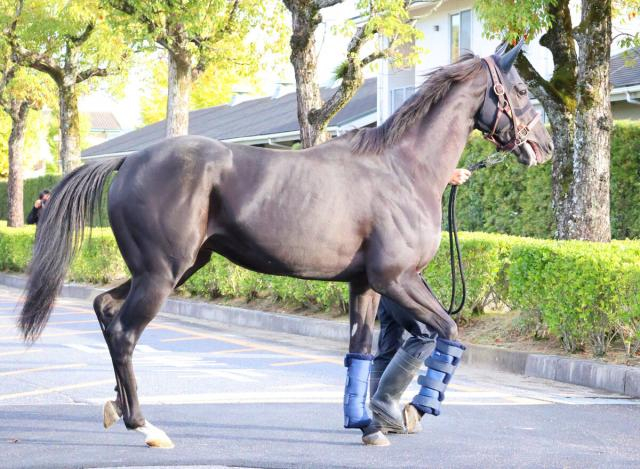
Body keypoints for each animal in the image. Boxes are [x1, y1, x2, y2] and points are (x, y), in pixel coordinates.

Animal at [19, 41, 553, 448]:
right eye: (523, 89)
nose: (545, 148)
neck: (401, 169)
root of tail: (129, 160)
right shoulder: (398, 279)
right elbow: (449, 332)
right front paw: (415, 410)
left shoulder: (366, 285)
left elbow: (362, 351)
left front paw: (366, 424)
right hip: (161, 275)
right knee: (125, 332)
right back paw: (144, 425)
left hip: (170, 269)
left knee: (106, 309)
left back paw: (116, 405)